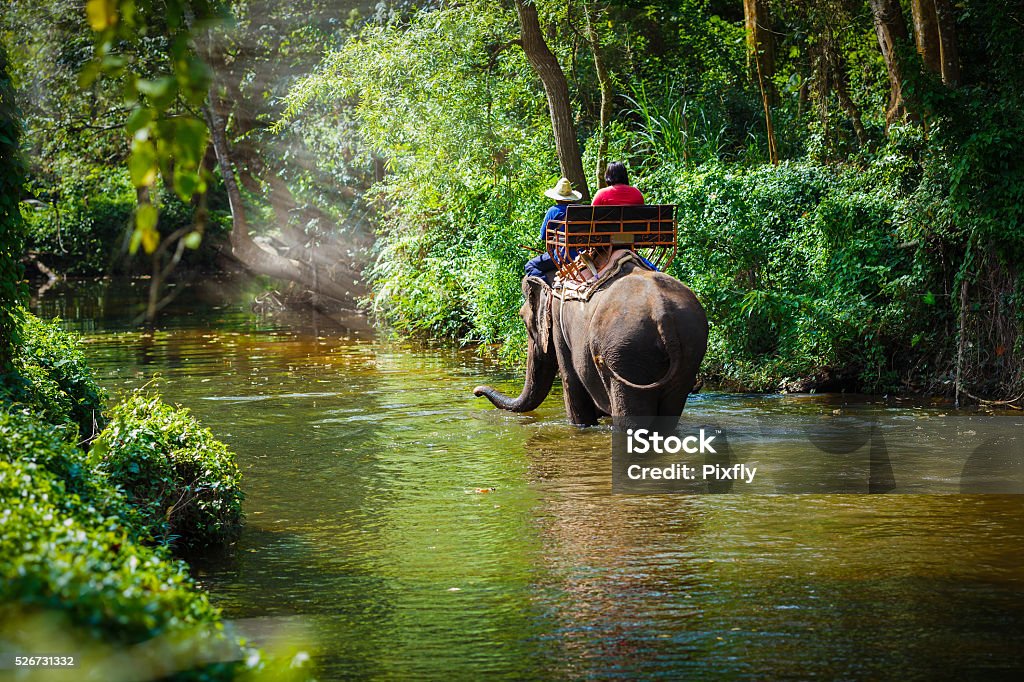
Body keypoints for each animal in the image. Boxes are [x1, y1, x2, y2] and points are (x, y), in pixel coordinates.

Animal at [473, 254, 708, 425]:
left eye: (523, 319)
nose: (476, 391)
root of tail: (662, 313)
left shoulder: (559, 323)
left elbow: (571, 382)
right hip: (688, 350)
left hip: (627, 353)